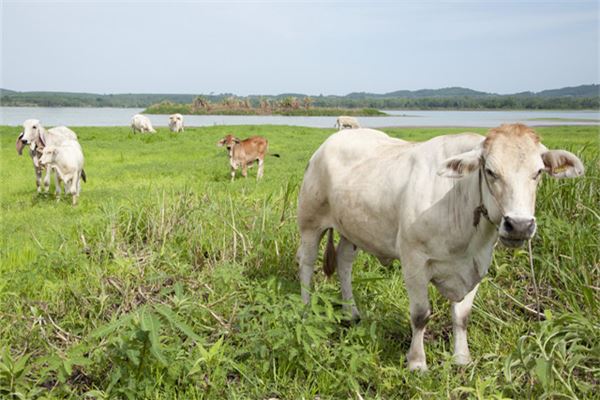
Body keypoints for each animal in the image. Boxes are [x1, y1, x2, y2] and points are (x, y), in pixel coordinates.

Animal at [298, 124, 584, 372]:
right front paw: (416, 362)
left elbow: (462, 316)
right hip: (310, 223)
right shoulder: (414, 260)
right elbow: (420, 315)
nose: (520, 225)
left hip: (352, 229)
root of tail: (332, 141)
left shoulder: (477, 264)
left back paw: (351, 311)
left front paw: (462, 358)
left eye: (538, 172)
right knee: (307, 264)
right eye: (490, 171)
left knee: (344, 262)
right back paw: (305, 308)